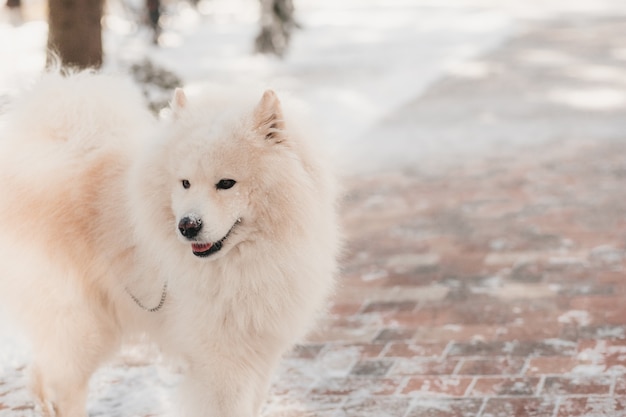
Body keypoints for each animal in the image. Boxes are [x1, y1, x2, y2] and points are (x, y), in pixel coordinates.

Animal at [0, 70, 338, 414]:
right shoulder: (222, 363)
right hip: (83, 328)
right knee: (64, 388)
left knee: (41, 375)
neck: (243, 261)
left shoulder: (261, 353)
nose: (187, 225)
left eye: (226, 183)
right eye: (185, 182)